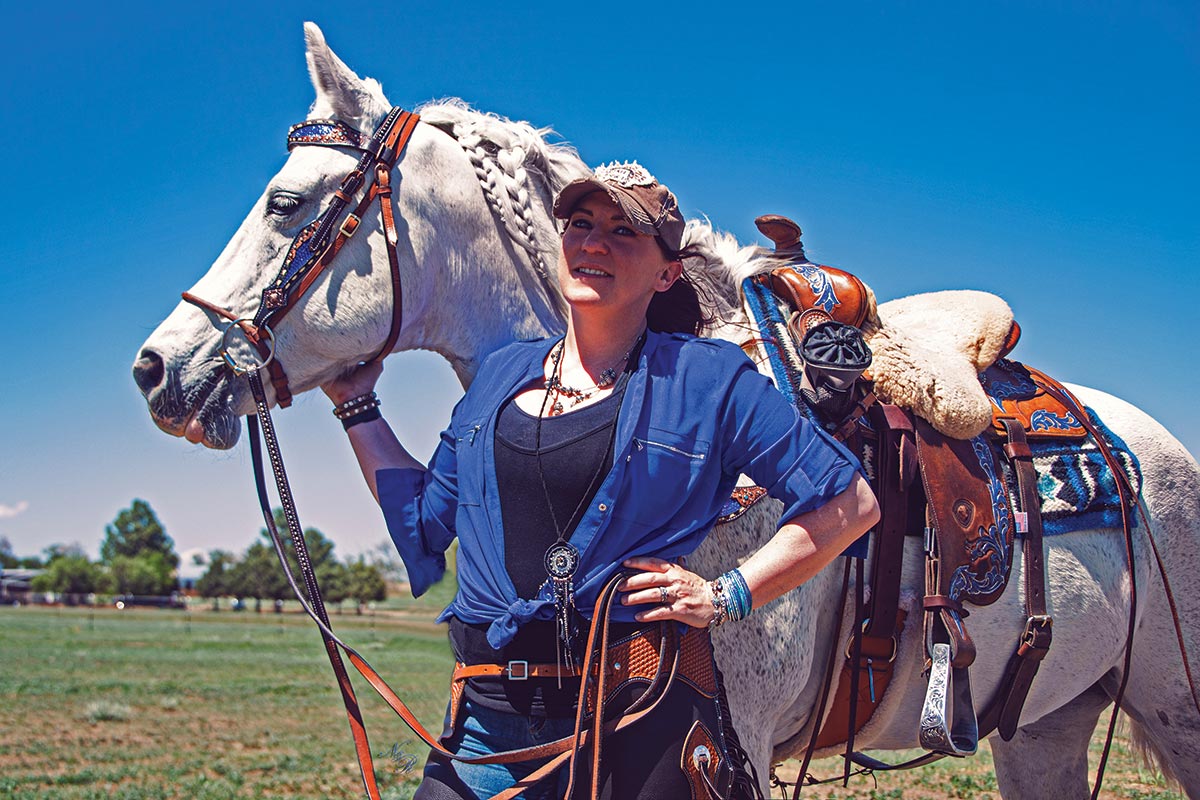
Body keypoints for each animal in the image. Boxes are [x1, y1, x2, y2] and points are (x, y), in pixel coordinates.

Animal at [136, 21, 1200, 796]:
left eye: (284, 203)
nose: (158, 370)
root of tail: (1134, 444)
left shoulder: (732, 750)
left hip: (1173, 704)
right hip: (1048, 723)